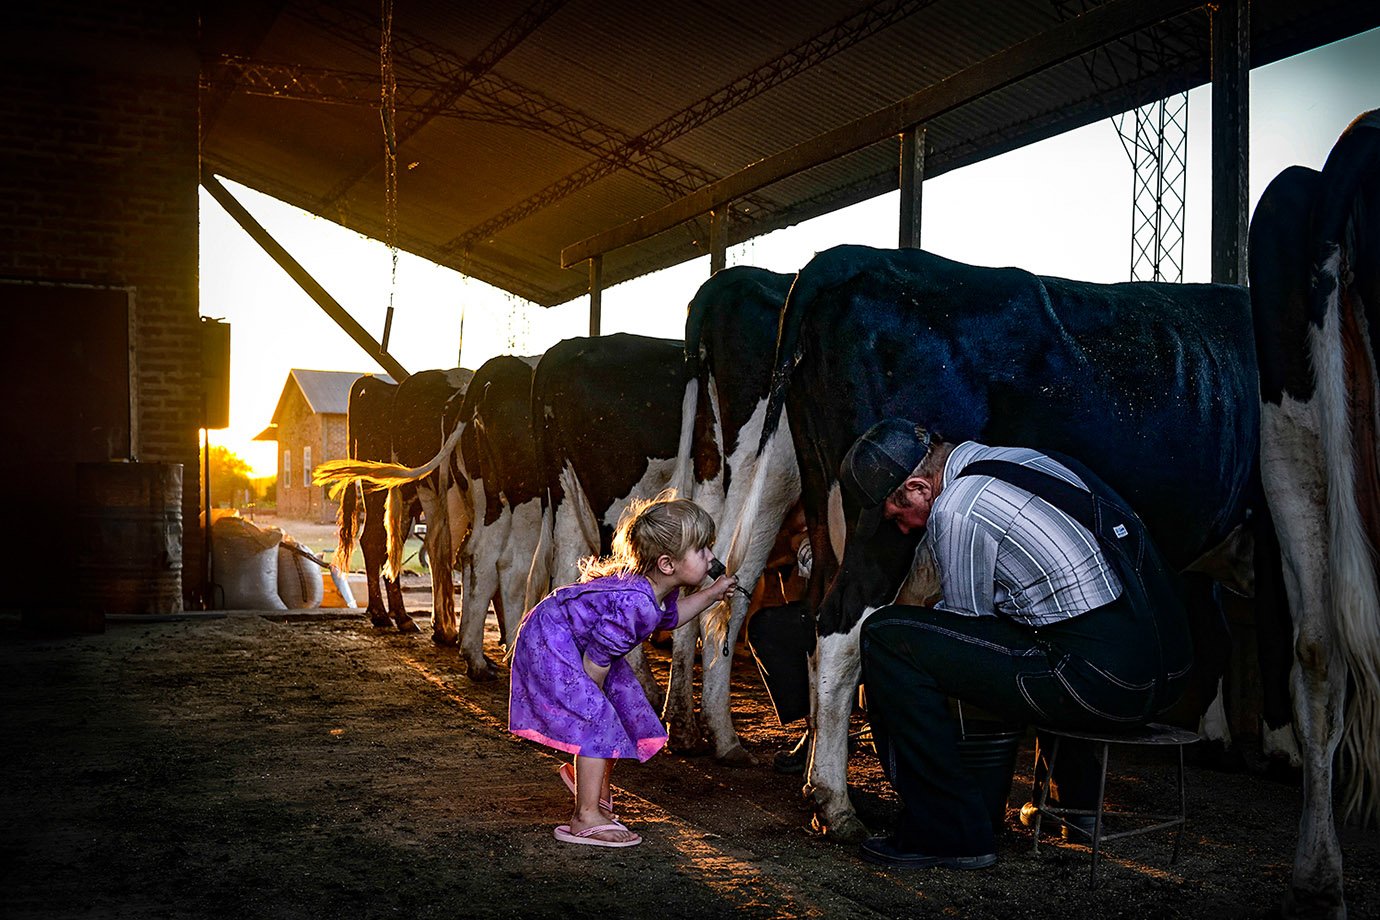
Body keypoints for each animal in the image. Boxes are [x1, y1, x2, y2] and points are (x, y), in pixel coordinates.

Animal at [665, 266, 805, 761]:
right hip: (771, 475)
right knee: (728, 585)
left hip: (710, 461)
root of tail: (723, 281)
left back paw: (682, 727)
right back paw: (724, 738)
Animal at [728, 242, 1264, 849]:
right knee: (841, 628)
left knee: (817, 619)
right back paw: (836, 803)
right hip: (877, 530)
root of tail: (842, 257)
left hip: (823, 500)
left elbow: (1216, 636)